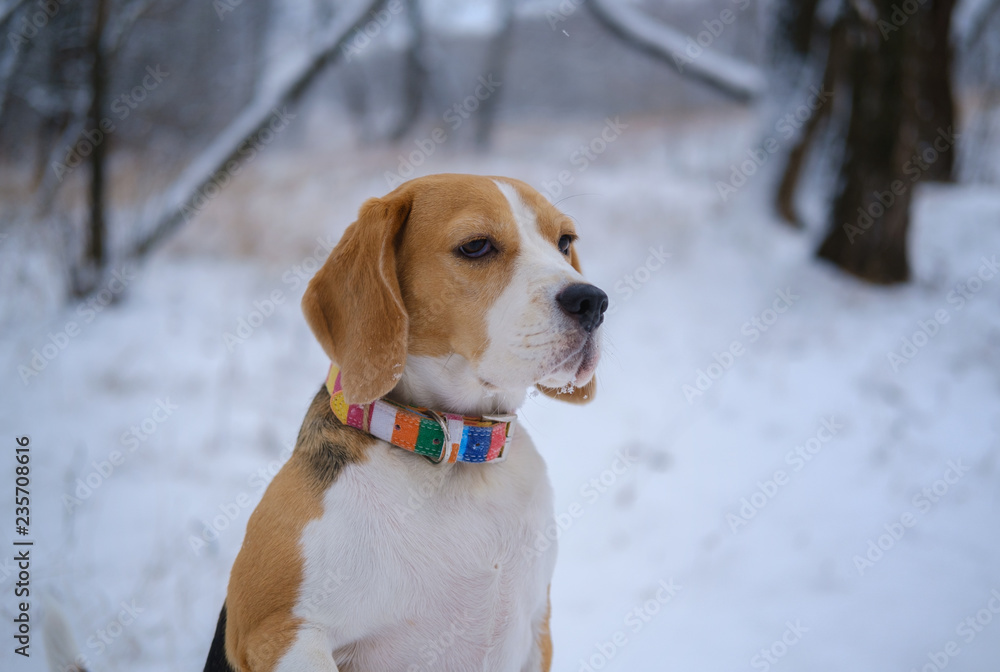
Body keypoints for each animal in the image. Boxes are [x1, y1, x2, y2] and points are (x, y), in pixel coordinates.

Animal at [204, 173, 608, 672]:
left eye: (565, 241)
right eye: (476, 246)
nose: (593, 301)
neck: (455, 448)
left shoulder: (537, 630)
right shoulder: (272, 632)